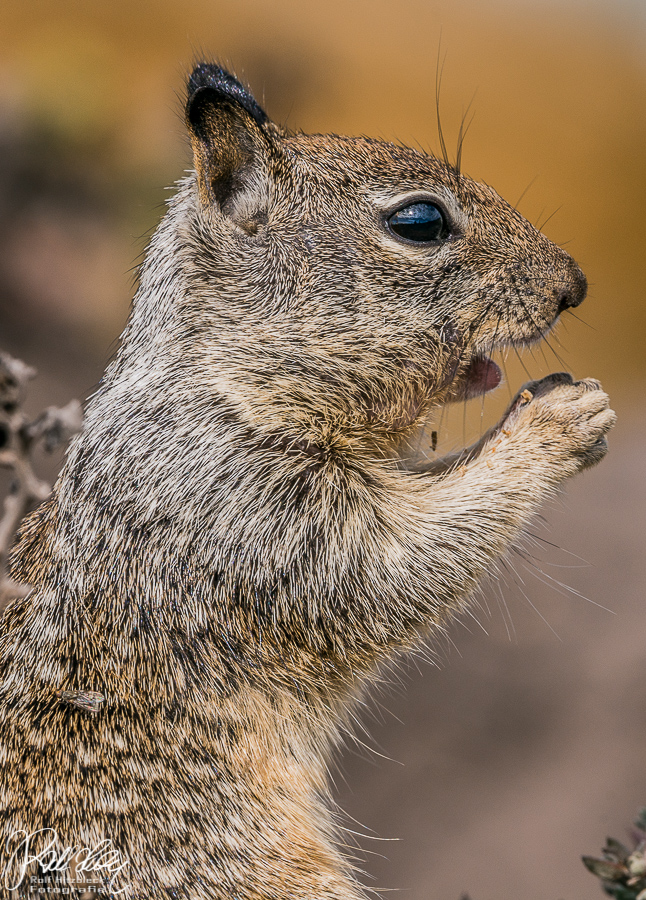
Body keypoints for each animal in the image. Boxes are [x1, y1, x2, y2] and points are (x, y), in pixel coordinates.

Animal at [0, 65, 616, 900]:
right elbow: (395, 570)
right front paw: (558, 419)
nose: (573, 287)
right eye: (421, 222)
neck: (224, 389)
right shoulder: (248, 513)